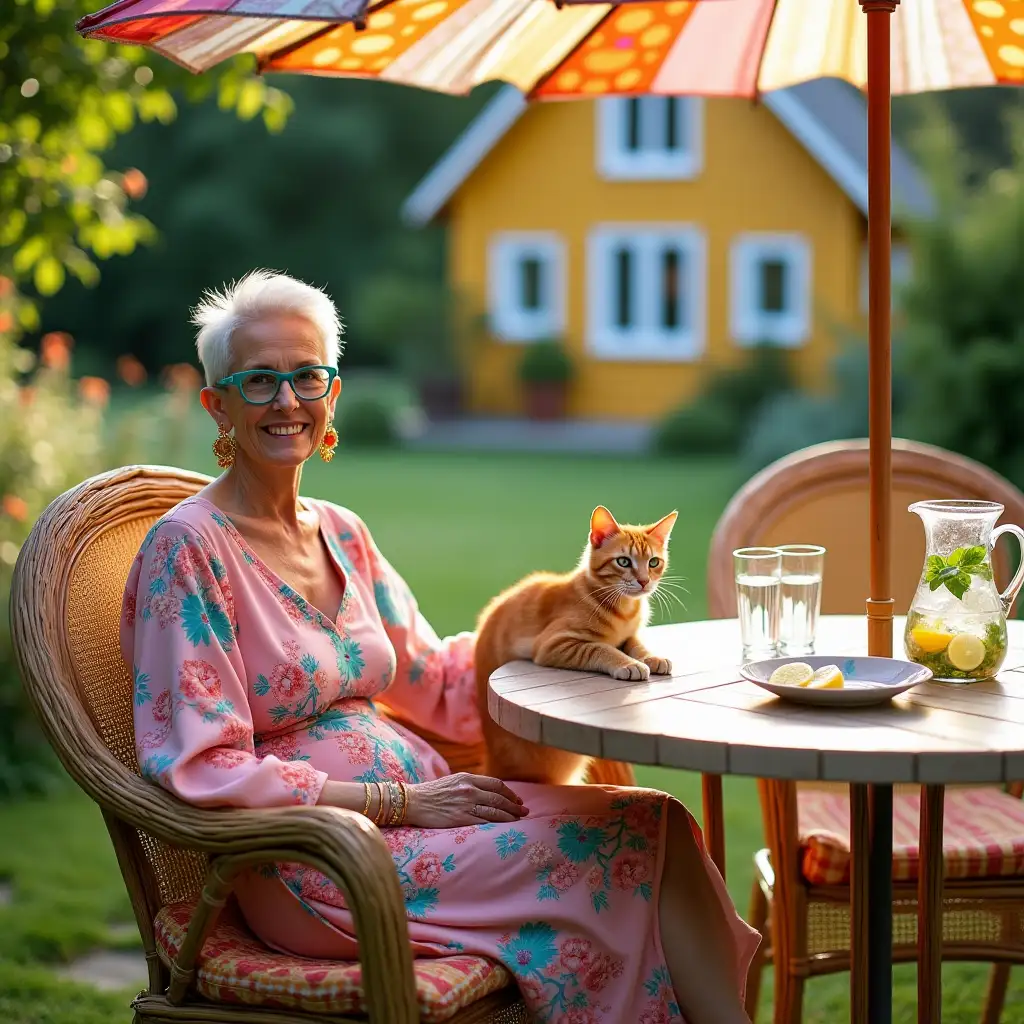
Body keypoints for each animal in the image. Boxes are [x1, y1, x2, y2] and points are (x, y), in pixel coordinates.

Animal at [473, 503, 679, 782]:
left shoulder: (629, 634)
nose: (644, 581)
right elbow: (601, 647)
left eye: (654, 562)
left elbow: (635, 643)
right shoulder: (553, 644)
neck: (624, 608)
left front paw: (652, 657)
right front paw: (629, 664)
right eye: (624, 561)